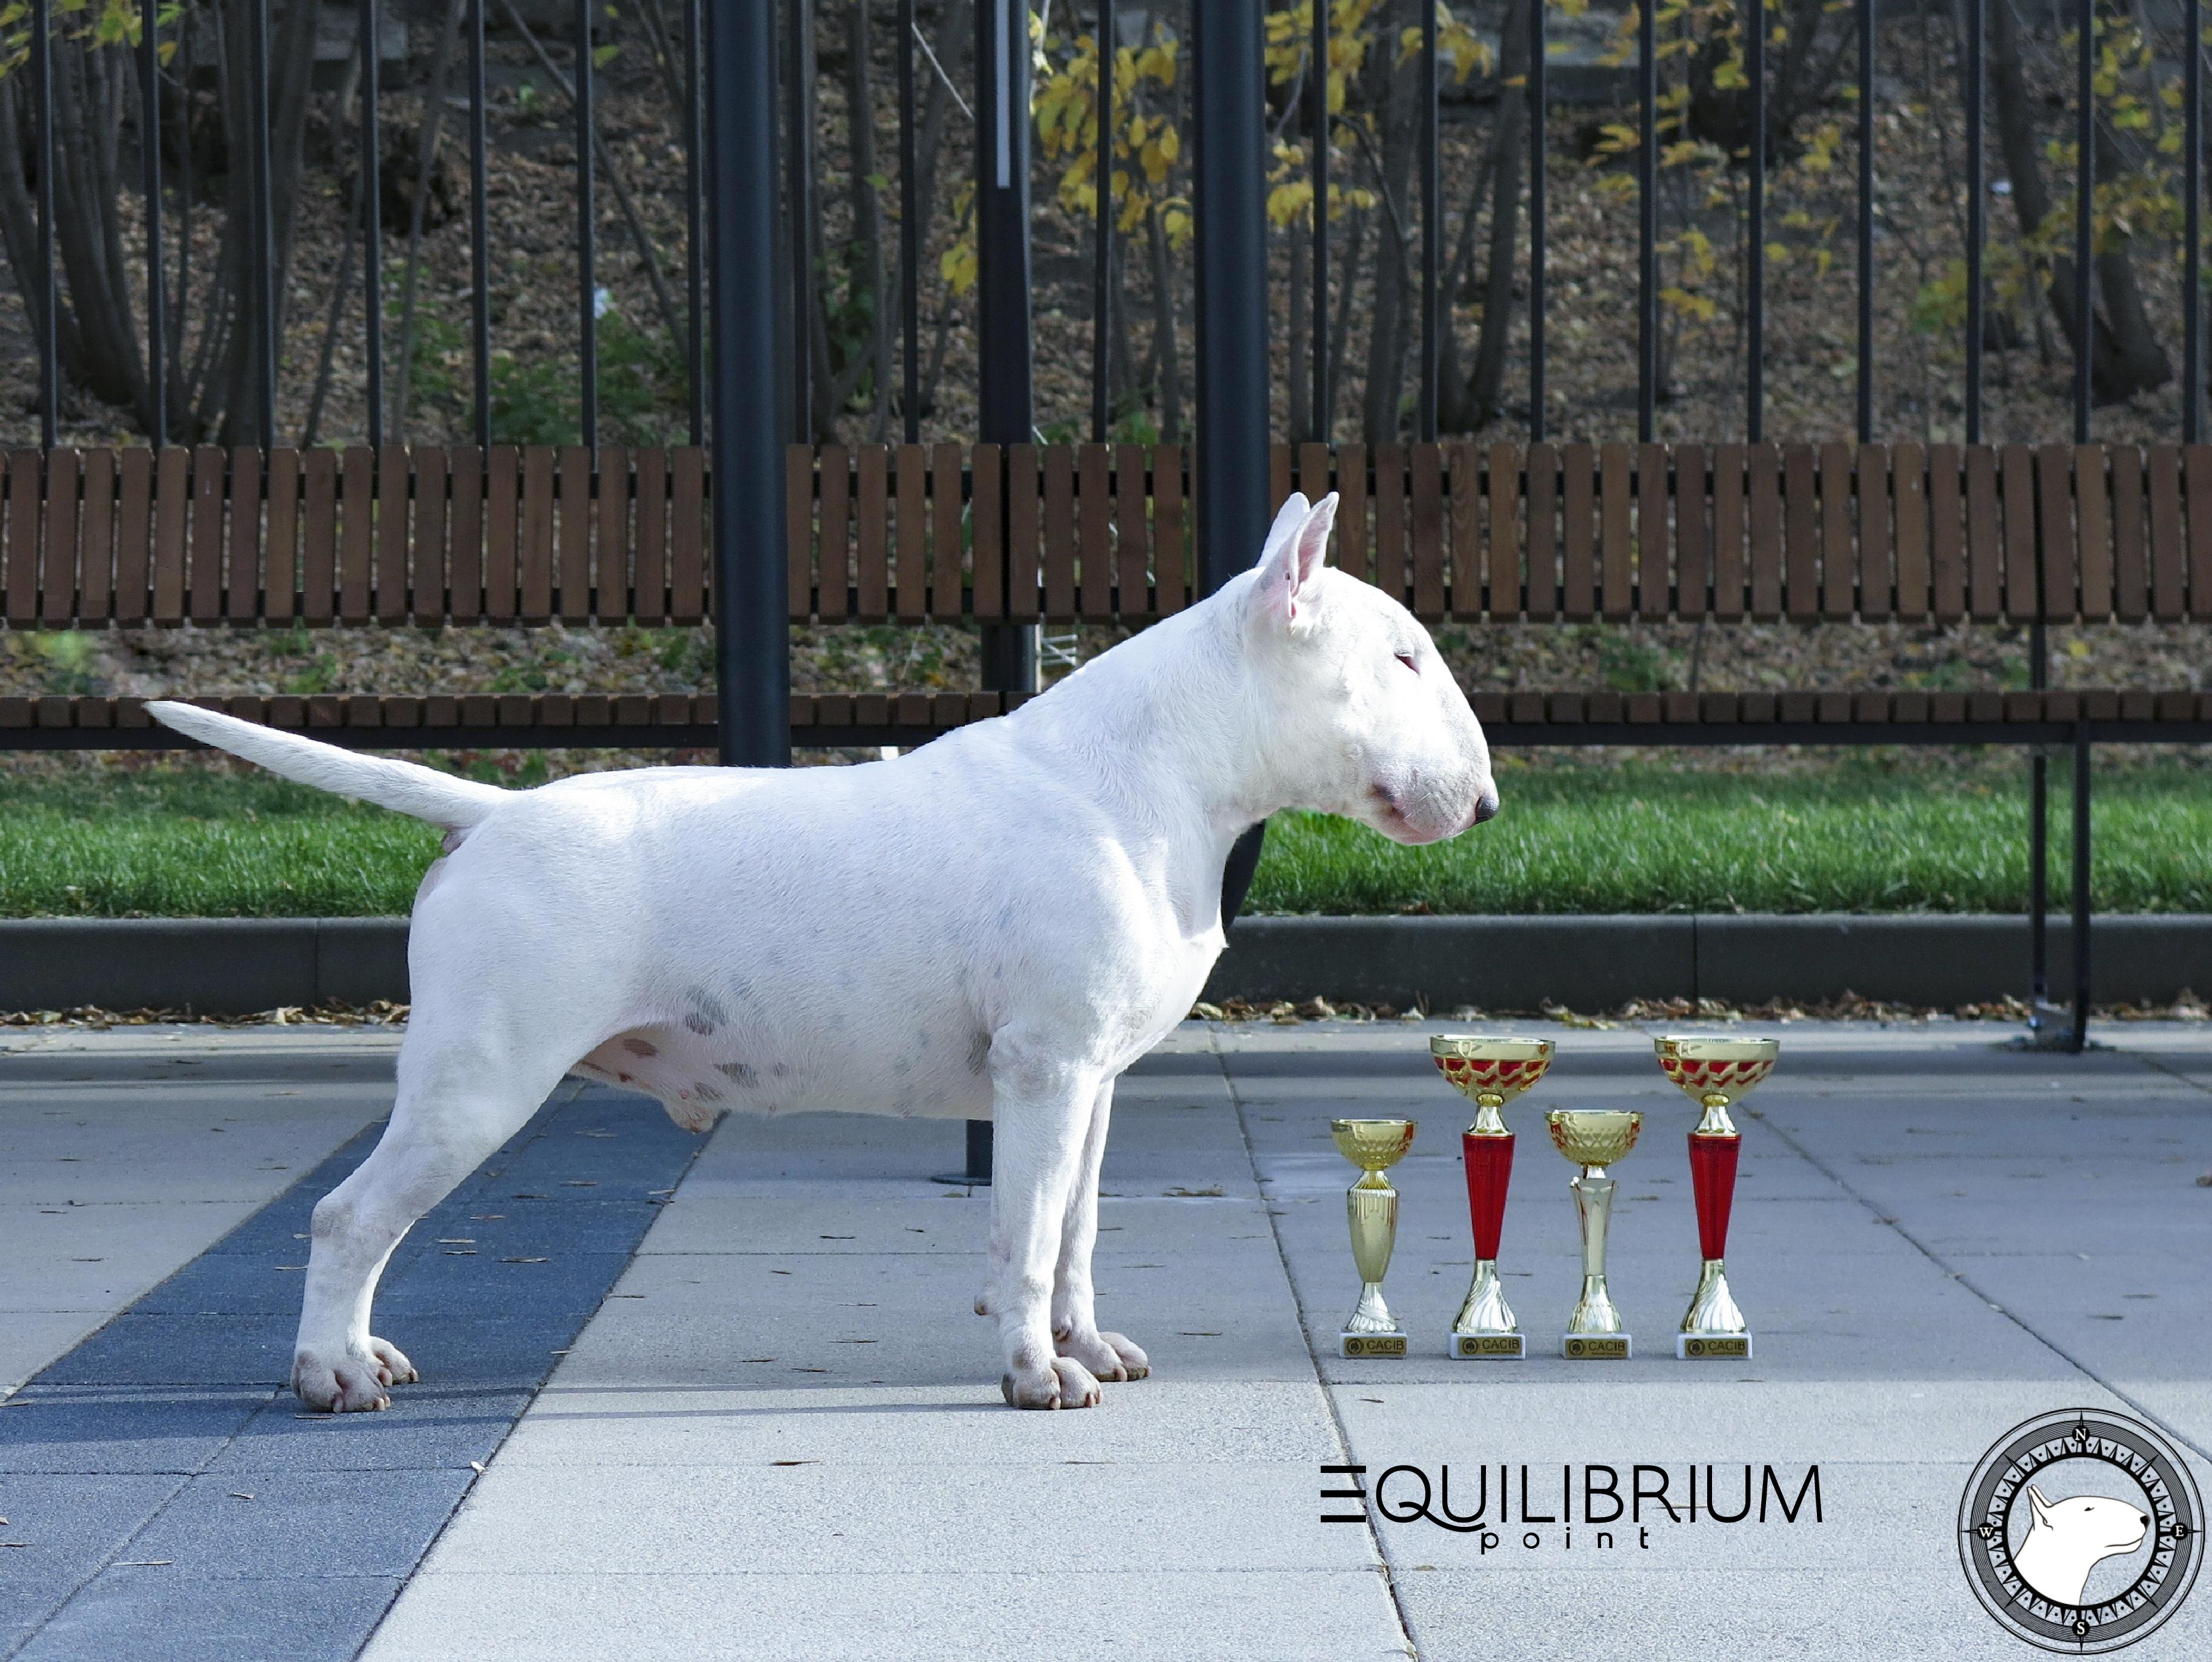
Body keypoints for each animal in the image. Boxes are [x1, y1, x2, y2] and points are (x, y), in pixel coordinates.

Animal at [152, 490, 1504, 1414]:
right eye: (1401, 656)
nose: (1489, 803)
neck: (1158, 772)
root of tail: (492, 812)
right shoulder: (1044, 1069)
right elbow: (1023, 1237)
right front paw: (1034, 1374)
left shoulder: (1097, 1080)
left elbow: (1074, 1232)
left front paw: (1088, 1347)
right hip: (481, 1077)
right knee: (348, 1215)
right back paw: (331, 1372)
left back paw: (363, 1350)